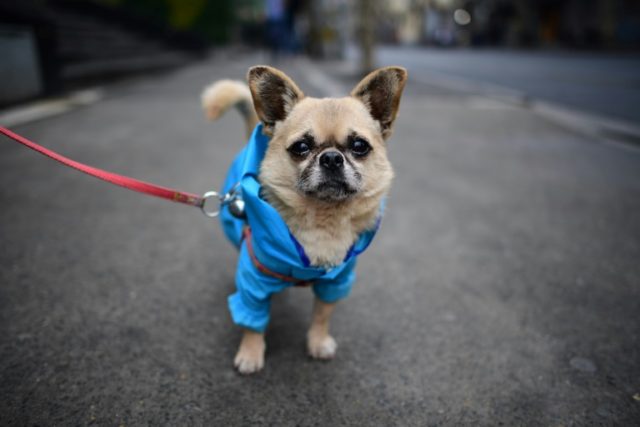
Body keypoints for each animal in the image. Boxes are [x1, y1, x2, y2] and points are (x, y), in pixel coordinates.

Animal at [202, 64, 408, 374]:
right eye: (301, 147)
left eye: (359, 146)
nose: (332, 158)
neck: (323, 219)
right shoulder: (253, 284)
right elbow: (253, 322)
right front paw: (250, 353)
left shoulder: (335, 282)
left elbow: (322, 315)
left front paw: (318, 343)